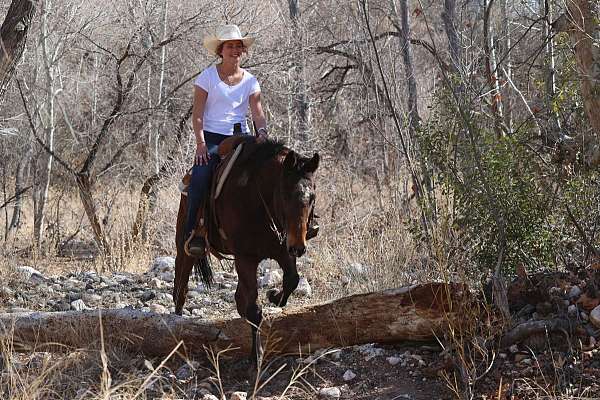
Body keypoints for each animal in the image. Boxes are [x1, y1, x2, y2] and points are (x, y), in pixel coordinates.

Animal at [173, 136, 318, 360]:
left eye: (312, 197)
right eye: (285, 195)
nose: (298, 247)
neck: (258, 199)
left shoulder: (283, 251)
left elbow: (291, 280)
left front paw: (273, 296)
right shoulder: (245, 258)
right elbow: (254, 309)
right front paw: (256, 356)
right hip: (184, 243)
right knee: (180, 285)